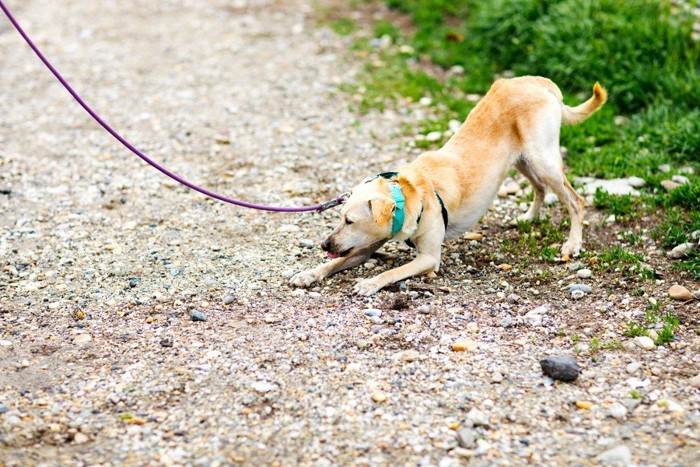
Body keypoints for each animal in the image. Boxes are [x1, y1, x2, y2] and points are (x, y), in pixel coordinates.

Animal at [290, 77, 608, 296]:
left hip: (542, 159)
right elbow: (333, 263)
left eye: (350, 221)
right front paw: (310, 273)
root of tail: (540, 82)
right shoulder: (364, 248)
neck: (408, 195)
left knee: (575, 200)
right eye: (339, 218)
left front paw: (370, 282)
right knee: (540, 187)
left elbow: (393, 272)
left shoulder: (429, 257)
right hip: (521, 161)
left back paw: (572, 244)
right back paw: (529, 217)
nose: (324, 244)